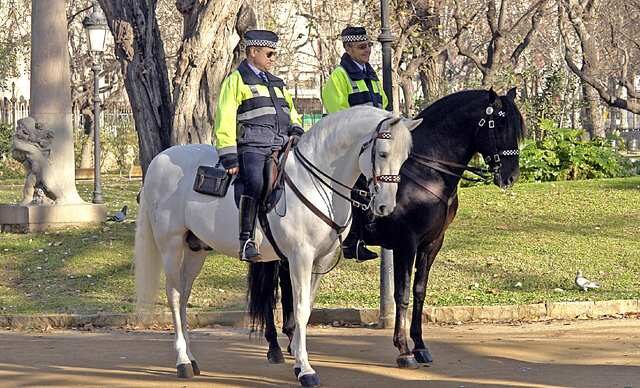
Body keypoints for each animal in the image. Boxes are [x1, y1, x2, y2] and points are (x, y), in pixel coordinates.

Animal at [134, 105, 420, 384]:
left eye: (404, 157)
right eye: (382, 153)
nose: (385, 206)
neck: (315, 181)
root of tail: (160, 160)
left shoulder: (320, 260)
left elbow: (307, 308)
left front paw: (298, 360)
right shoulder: (299, 257)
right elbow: (300, 309)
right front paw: (305, 369)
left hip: (196, 250)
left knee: (184, 297)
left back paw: (192, 358)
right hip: (171, 246)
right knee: (174, 296)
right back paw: (182, 361)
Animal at [260, 88, 524, 370]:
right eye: (498, 124)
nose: (511, 176)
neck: (427, 173)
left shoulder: (432, 244)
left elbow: (419, 291)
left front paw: (420, 345)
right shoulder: (406, 243)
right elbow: (402, 294)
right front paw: (404, 349)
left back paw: (291, 340)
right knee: (270, 290)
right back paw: (275, 345)